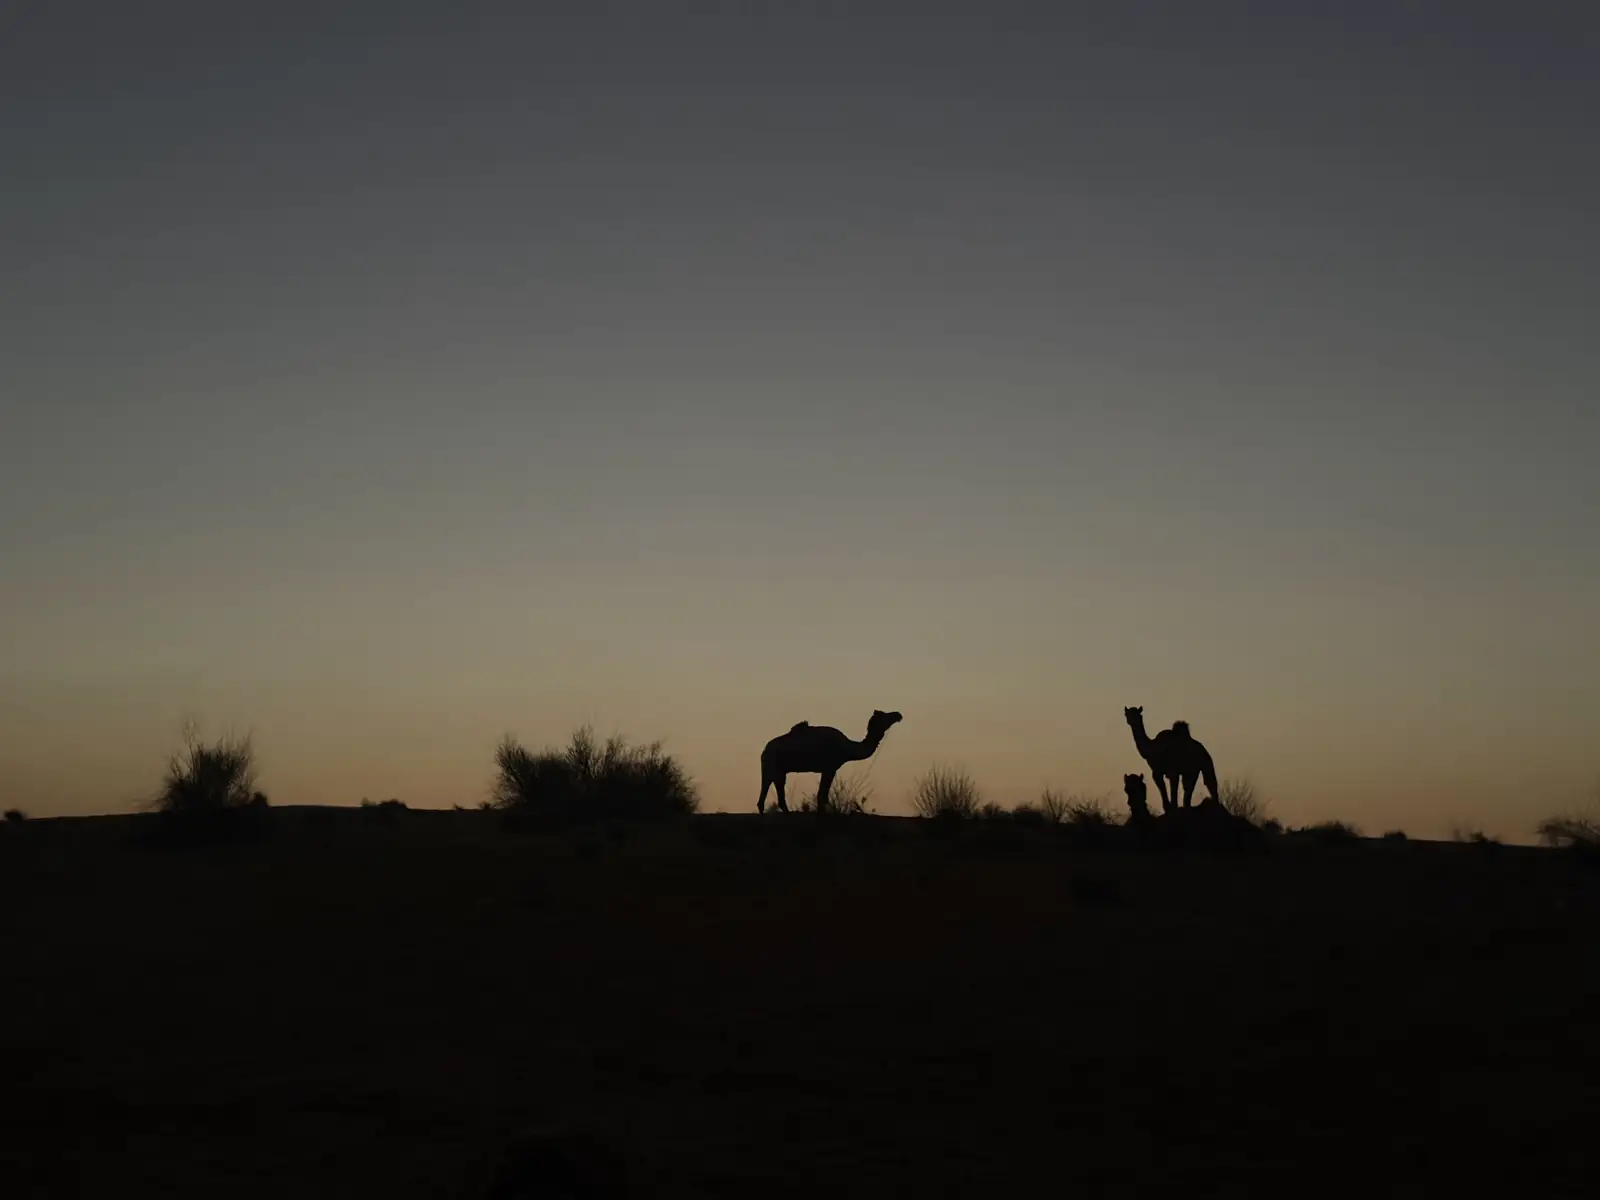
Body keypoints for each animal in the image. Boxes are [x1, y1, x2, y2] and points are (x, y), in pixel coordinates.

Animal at [757, 709, 903, 814]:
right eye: (885, 715)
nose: (898, 715)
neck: (848, 748)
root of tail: (764, 750)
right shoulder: (830, 768)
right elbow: (822, 795)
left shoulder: (827, 769)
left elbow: (822, 795)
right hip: (775, 767)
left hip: (773, 769)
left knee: (766, 793)